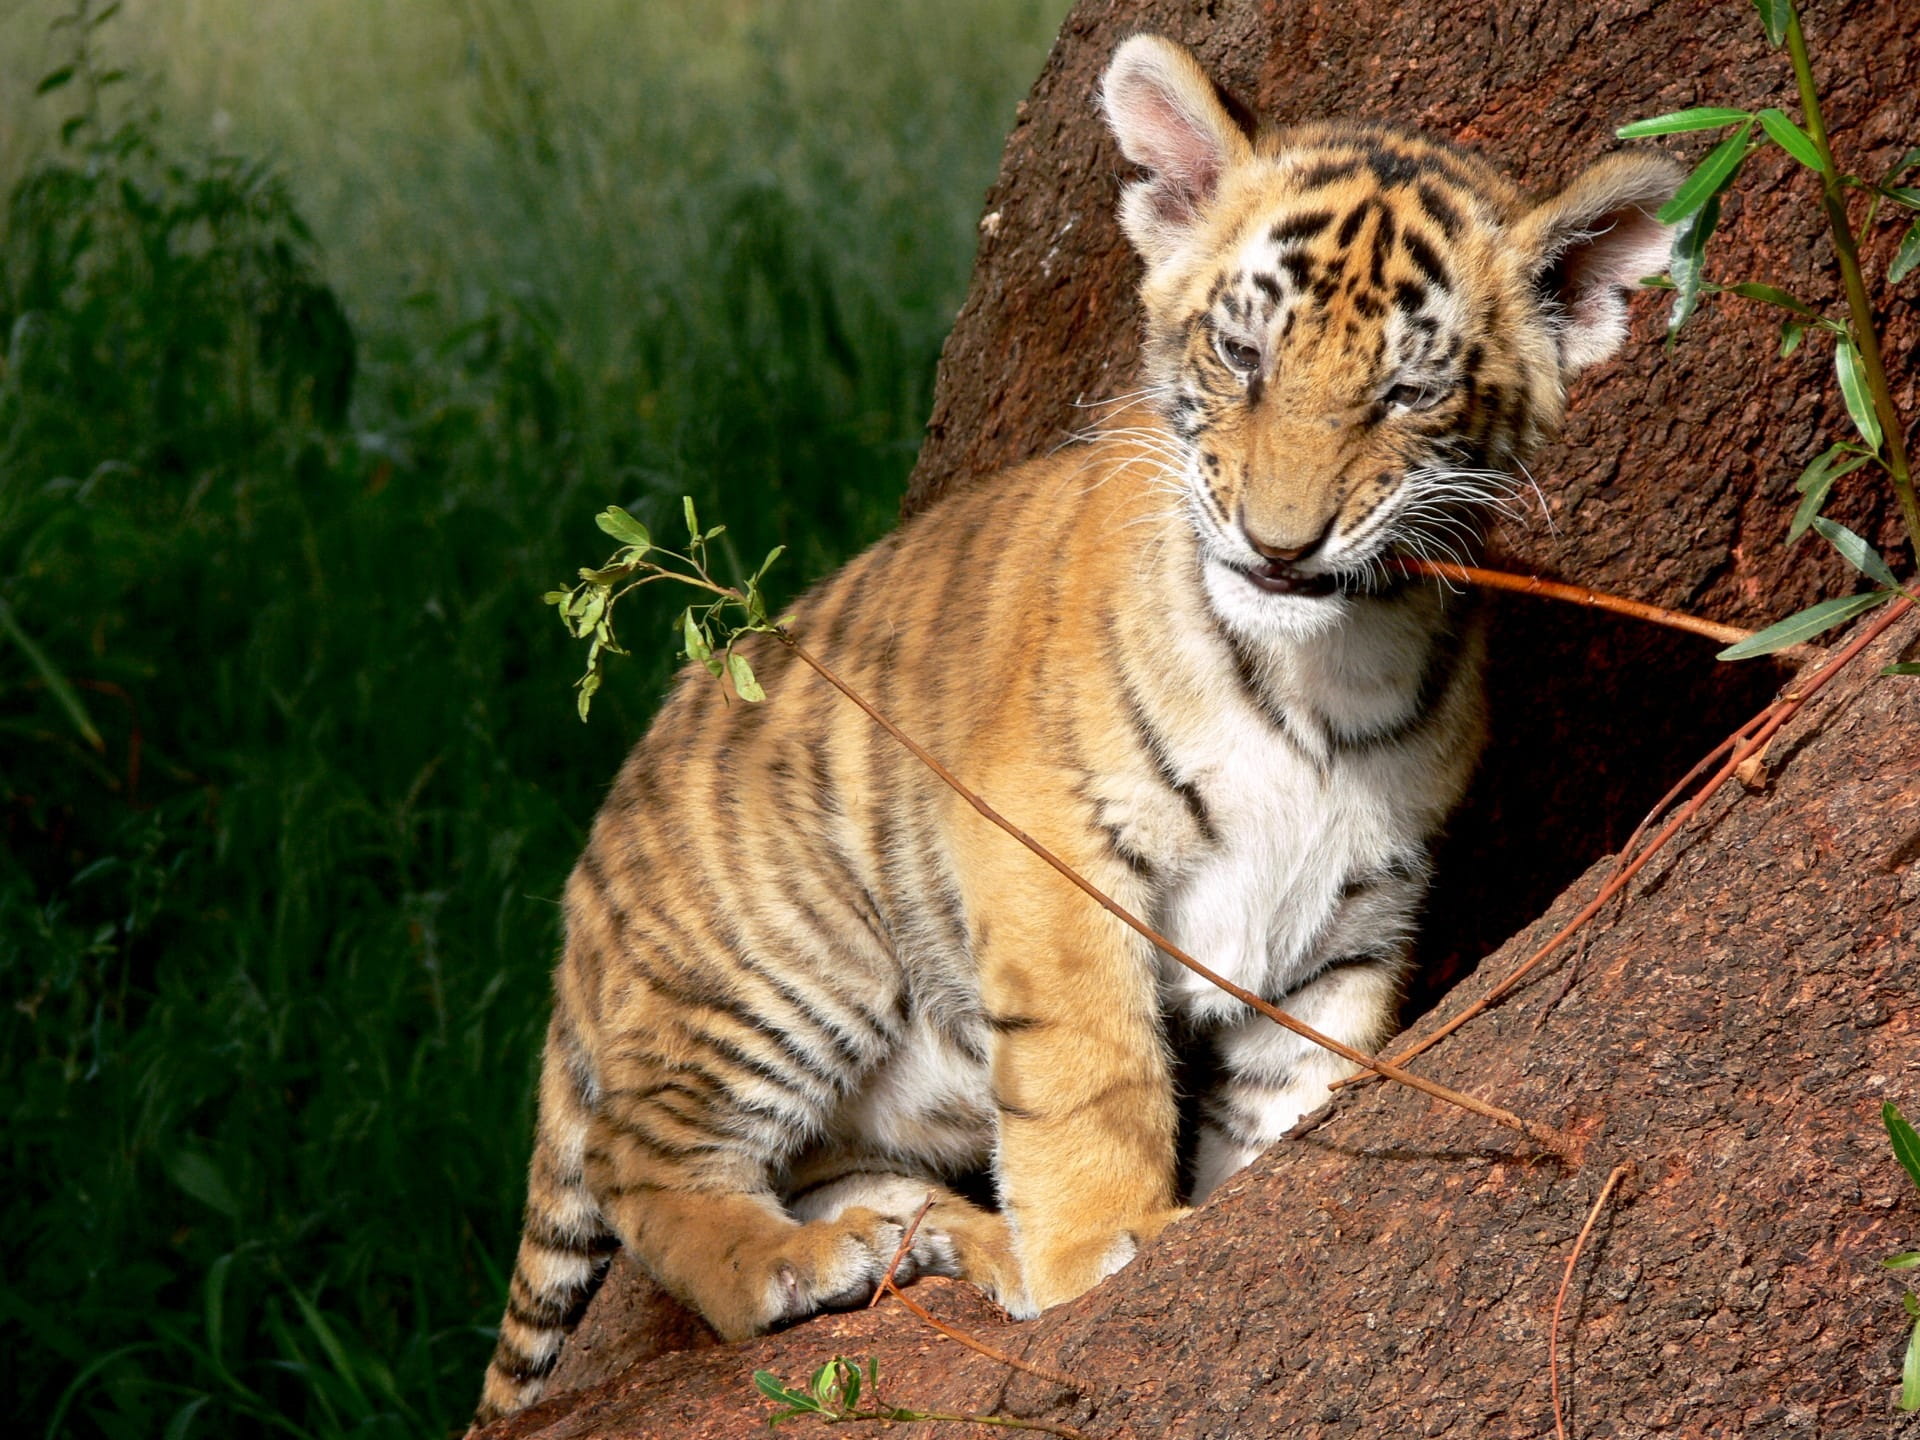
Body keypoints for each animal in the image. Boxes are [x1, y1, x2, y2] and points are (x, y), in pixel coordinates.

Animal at [472, 32, 1679, 1427]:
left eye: (1407, 393)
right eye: (1242, 356)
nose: (1280, 544)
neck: (1329, 657)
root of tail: (586, 883)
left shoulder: (1352, 913)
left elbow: (1297, 1094)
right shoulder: (1051, 853)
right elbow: (1093, 1067)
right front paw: (1107, 1244)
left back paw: (923, 1233)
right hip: (789, 961)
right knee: (641, 1166)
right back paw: (801, 1265)